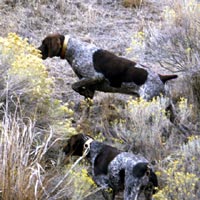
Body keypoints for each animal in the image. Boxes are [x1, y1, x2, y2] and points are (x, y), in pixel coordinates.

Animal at [38, 34, 177, 101]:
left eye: (44, 44)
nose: (36, 51)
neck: (74, 49)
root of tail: (161, 77)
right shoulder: (90, 86)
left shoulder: (95, 76)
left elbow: (74, 85)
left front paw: (80, 91)